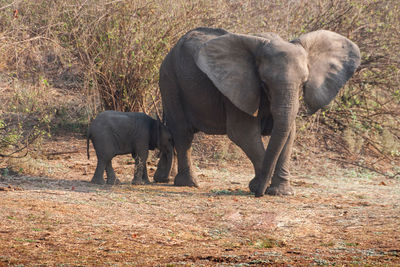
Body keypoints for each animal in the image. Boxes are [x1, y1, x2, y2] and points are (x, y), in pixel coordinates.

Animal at [153, 27, 360, 199]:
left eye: (304, 82)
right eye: (264, 82)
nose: (259, 194)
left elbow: (288, 133)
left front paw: (281, 192)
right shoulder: (239, 88)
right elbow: (243, 133)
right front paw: (259, 186)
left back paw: (164, 179)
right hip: (169, 80)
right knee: (183, 133)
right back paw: (188, 183)